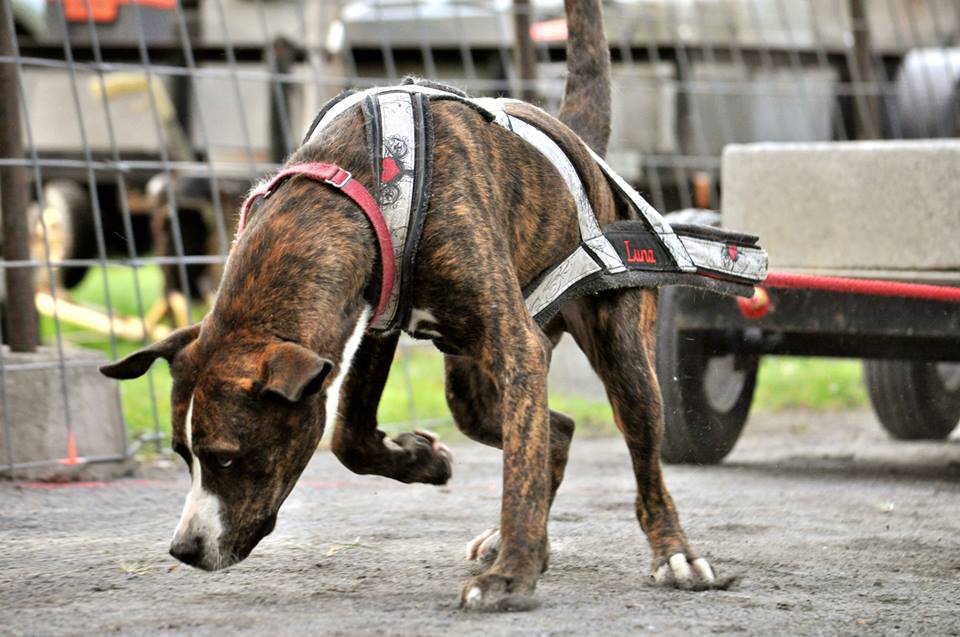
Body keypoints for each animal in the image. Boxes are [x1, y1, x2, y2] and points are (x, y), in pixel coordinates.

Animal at [103, 0, 720, 608]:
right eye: (182, 455)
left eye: (227, 457)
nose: (183, 550)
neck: (353, 179)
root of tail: (577, 144)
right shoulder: (373, 322)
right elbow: (349, 437)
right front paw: (420, 460)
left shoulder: (515, 345)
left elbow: (518, 469)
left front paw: (511, 578)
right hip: (471, 385)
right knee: (557, 430)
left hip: (620, 358)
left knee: (641, 462)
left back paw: (672, 554)